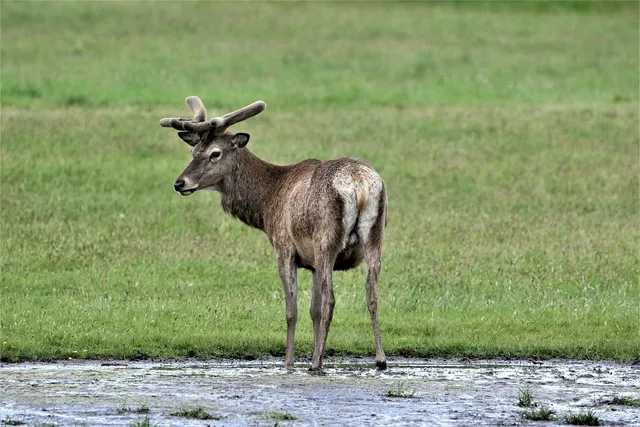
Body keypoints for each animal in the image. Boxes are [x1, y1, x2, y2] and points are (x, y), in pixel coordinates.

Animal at [159, 96, 388, 373]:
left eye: (215, 153)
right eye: (193, 153)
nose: (180, 183)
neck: (267, 203)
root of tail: (359, 183)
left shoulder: (284, 247)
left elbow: (292, 310)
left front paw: (290, 362)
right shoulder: (311, 262)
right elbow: (313, 311)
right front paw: (311, 353)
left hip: (327, 239)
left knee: (331, 300)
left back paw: (318, 364)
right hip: (375, 236)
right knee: (372, 294)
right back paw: (379, 359)